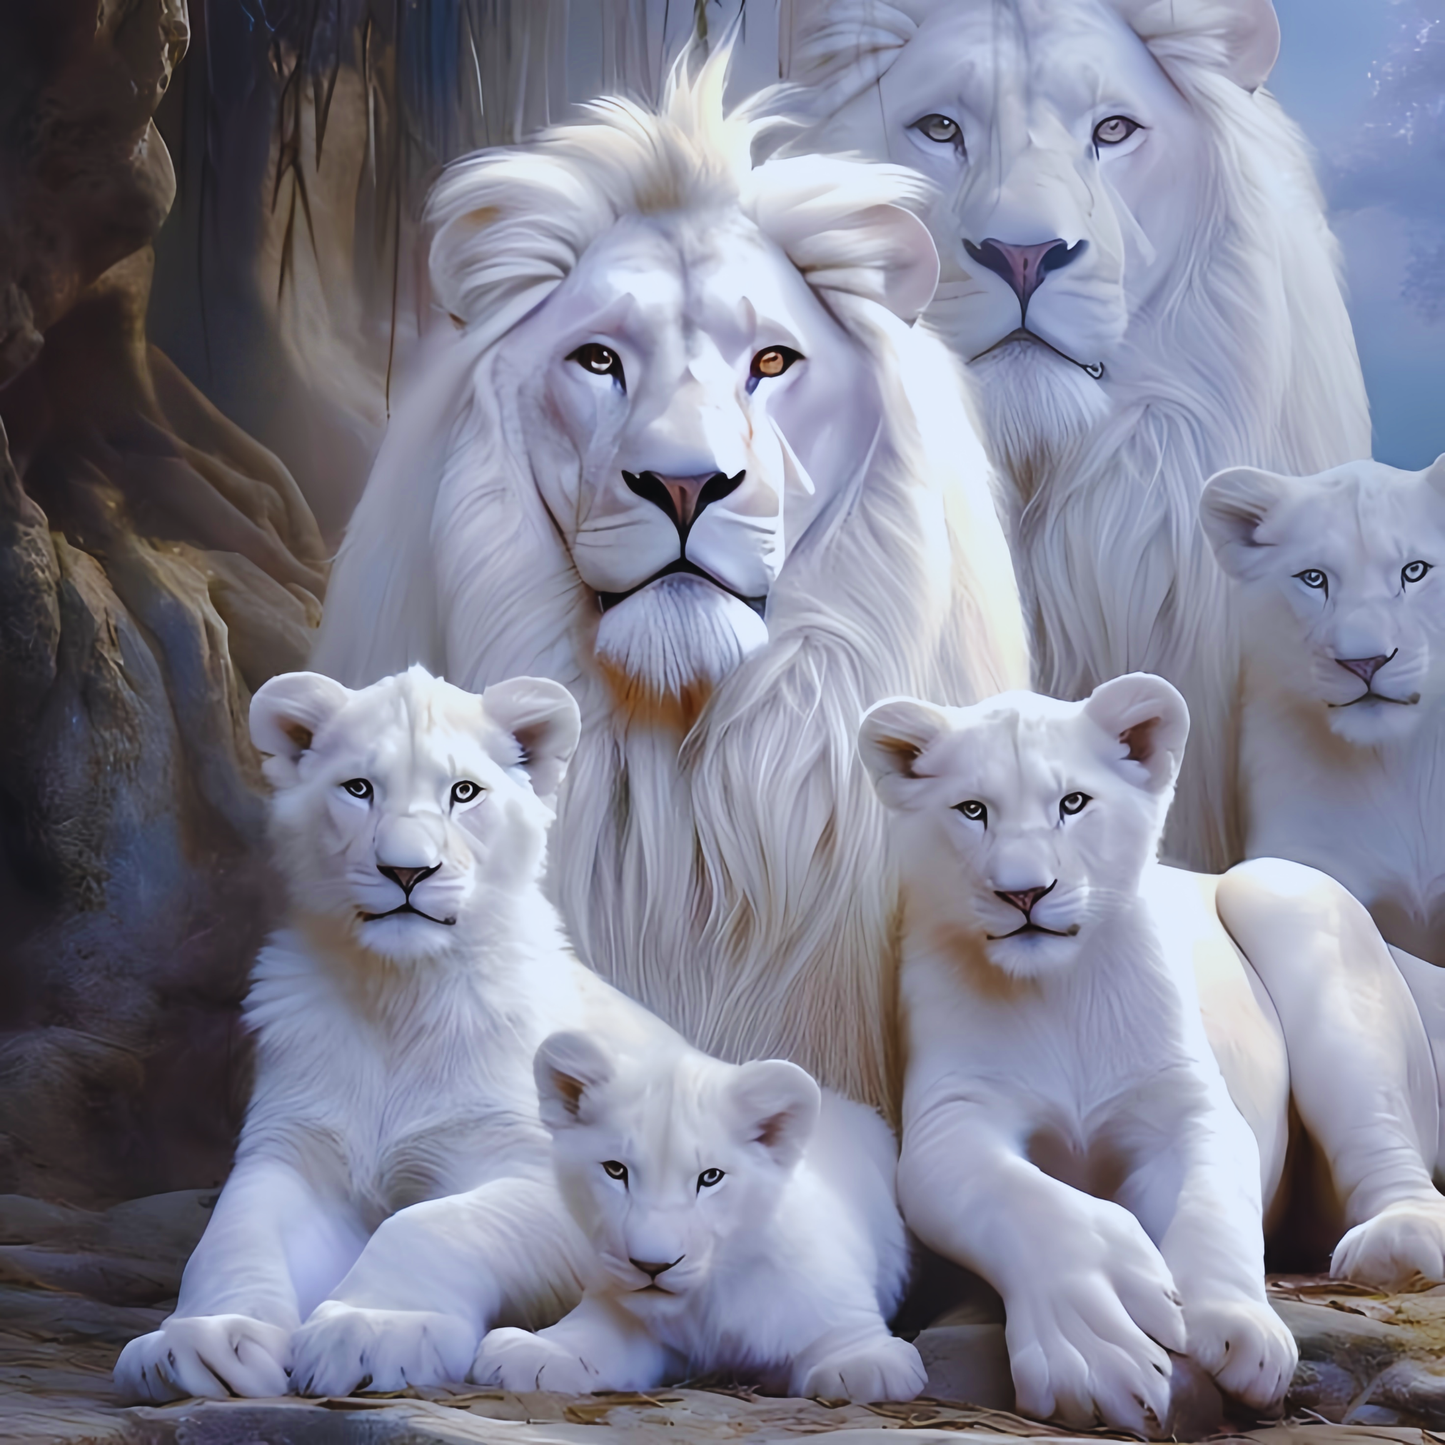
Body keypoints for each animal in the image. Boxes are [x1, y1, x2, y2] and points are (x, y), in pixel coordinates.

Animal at [114, 665, 662, 1401]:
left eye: (464, 791)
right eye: (358, 788)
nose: (407, 870)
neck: (398, 993)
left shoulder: (551, 1174)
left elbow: (430, 1223)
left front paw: (371, 1330)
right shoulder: (295, 1149)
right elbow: (233, 1234)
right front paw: (204, 1341)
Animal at [474, 1028, 925, 1402]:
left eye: (710, 1177)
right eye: (615, 1170)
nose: (651, 1266)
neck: (706, 1304)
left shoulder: (832, 1305)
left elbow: (845, 1339)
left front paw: (863, 1362)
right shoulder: (619, 1308)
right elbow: (589, 1334)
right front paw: (537, 1350)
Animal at [861, 674, 1445, 1434]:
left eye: (1072, 802)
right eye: (972, 810)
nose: (1023, 891)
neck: (1059, 991)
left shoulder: (1186, 1103)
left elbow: (1210, 1200)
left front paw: (1236, 1327)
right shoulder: (950, 1118)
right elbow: (1024, 1199)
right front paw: (1099, 1351)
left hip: (1285, 896)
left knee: (1384, 1147)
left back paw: (1397, 1243)